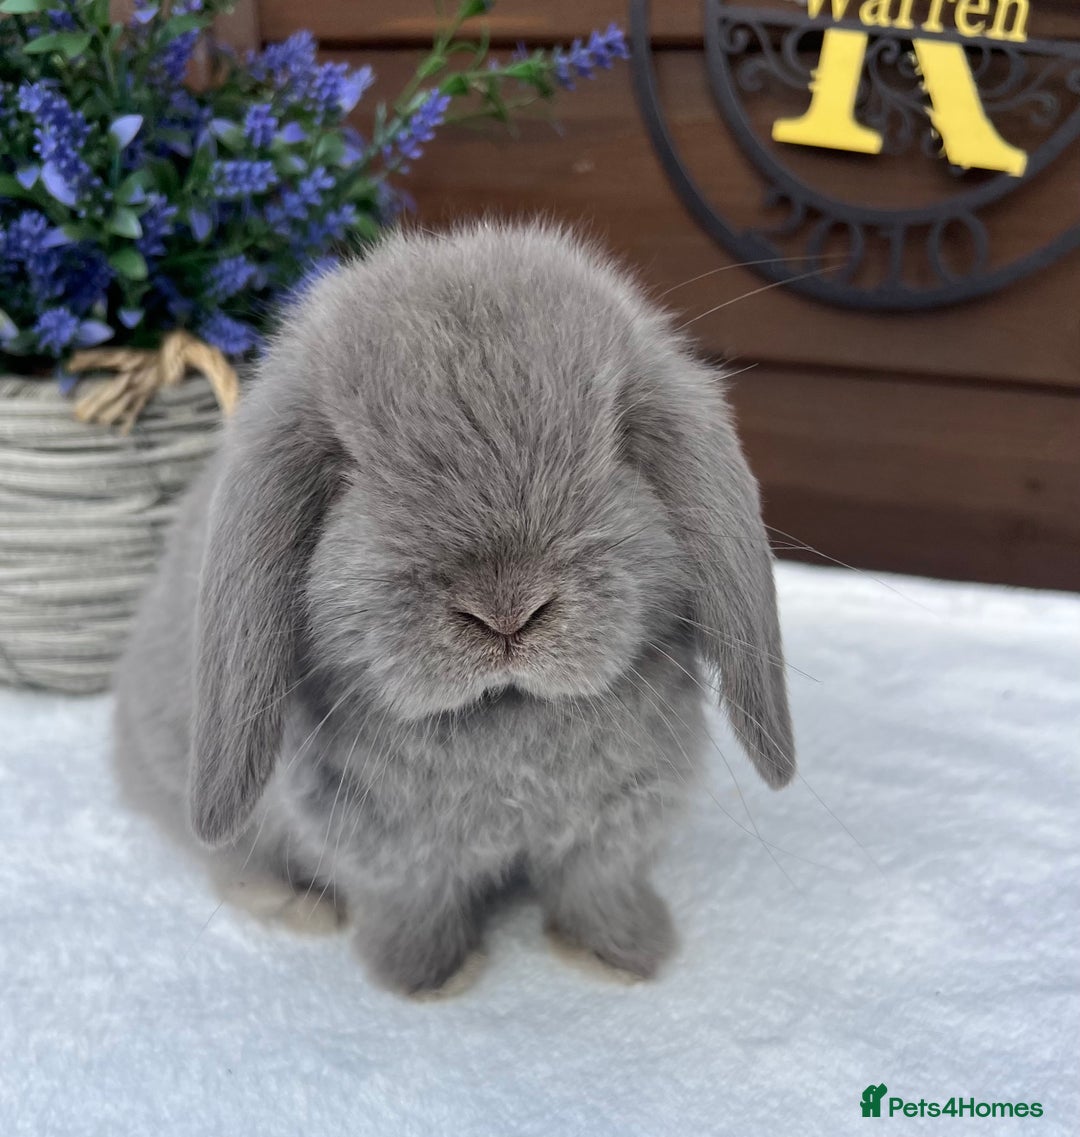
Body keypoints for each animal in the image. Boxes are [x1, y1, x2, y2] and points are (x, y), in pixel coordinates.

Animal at [113, 221, 795, 996]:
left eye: (619, 440)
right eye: (345, 470)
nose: (507, 610)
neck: (506, 717)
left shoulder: (618, 827)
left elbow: (597, 889)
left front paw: (624, 956)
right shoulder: (388, 853)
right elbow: (416, 907)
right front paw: (431, 979)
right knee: (229, 859)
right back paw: (294, 905)